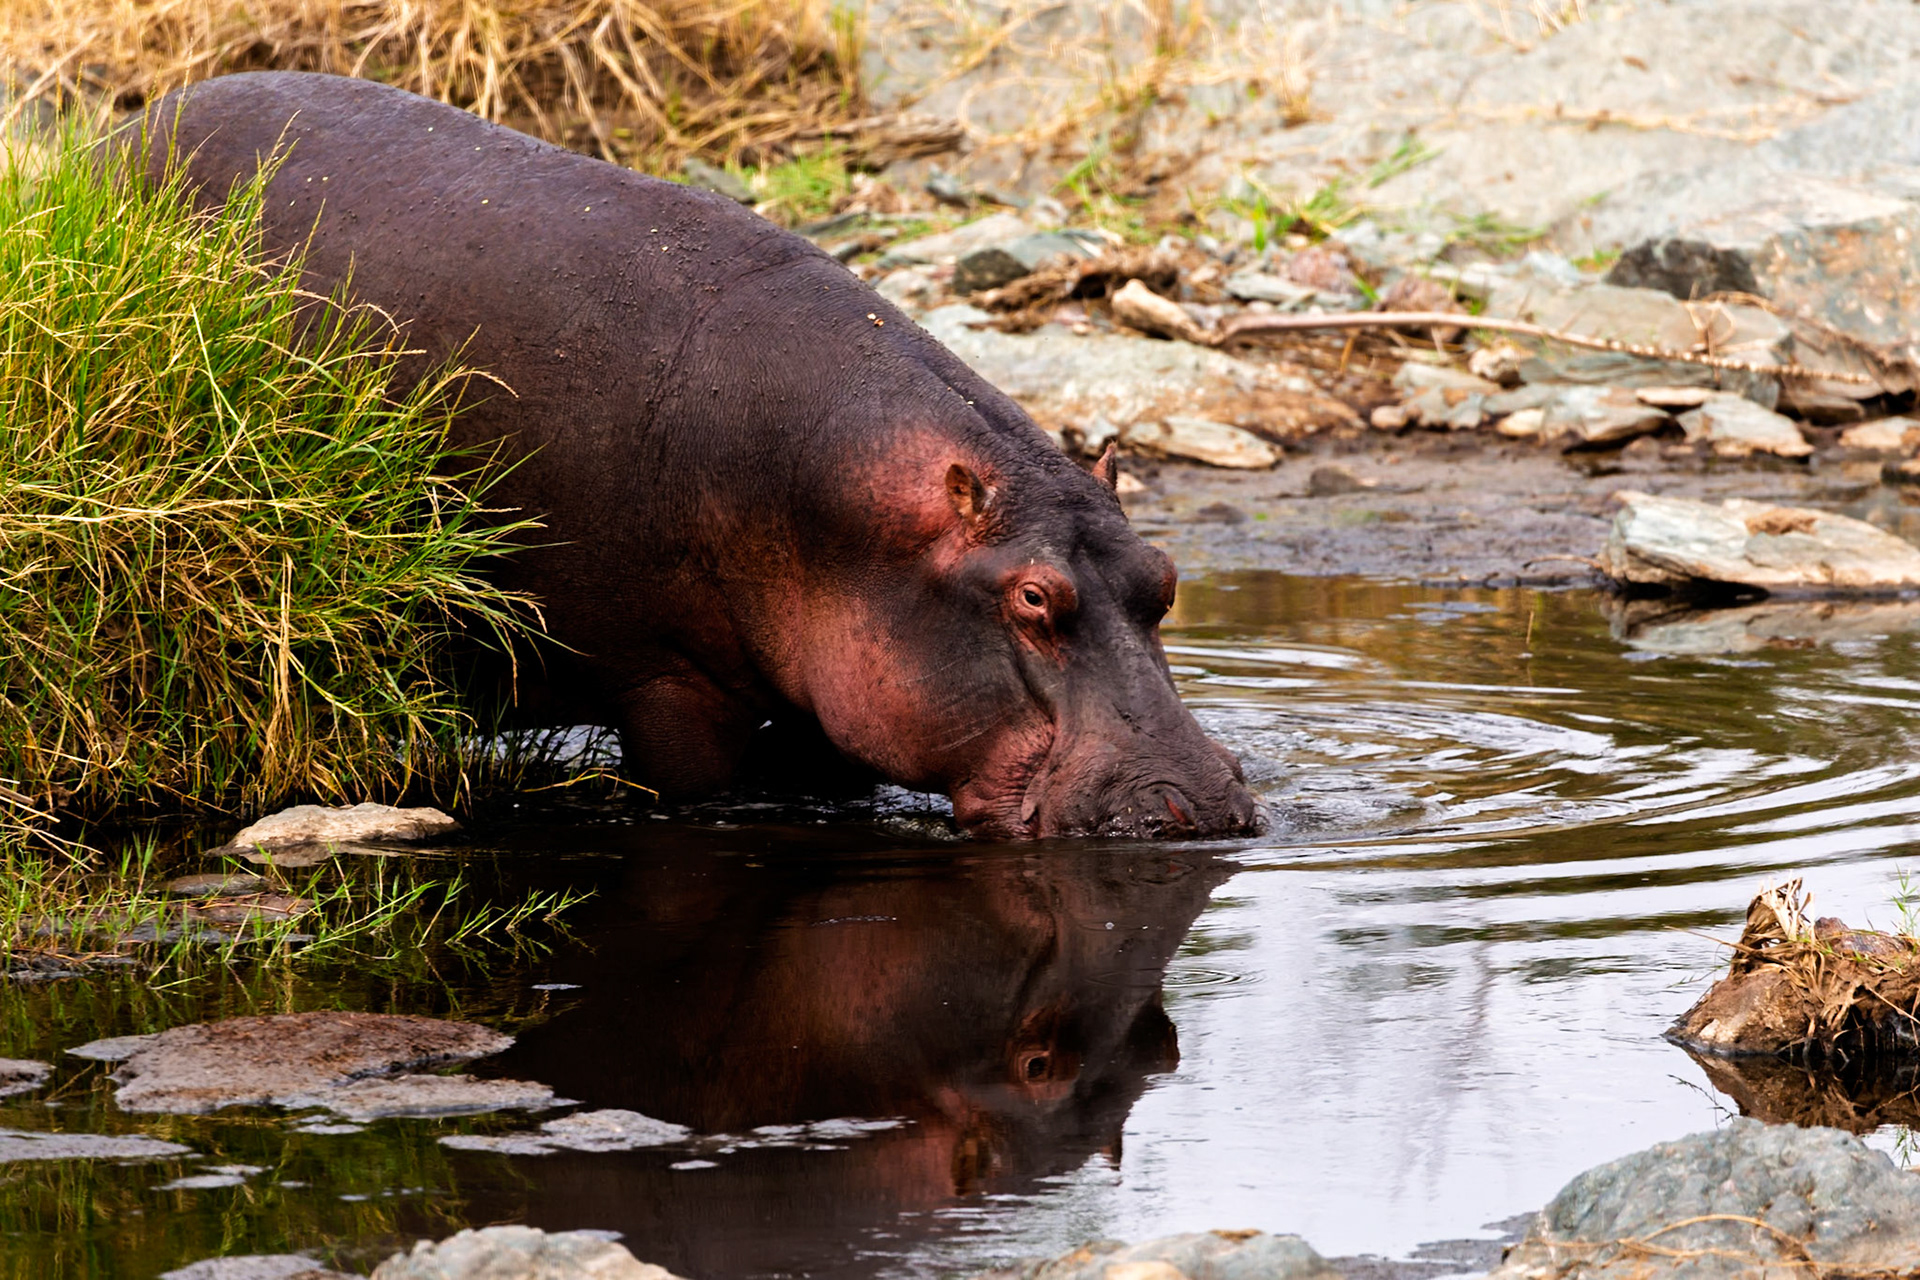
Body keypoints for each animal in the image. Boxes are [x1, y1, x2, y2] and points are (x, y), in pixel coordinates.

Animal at [139, 72, 1260, 839]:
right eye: (1034, 599)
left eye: (1163, 576)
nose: (1202, 802)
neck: (863, 521)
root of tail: (124, 128)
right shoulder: (666, 684)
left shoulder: (842, 699)